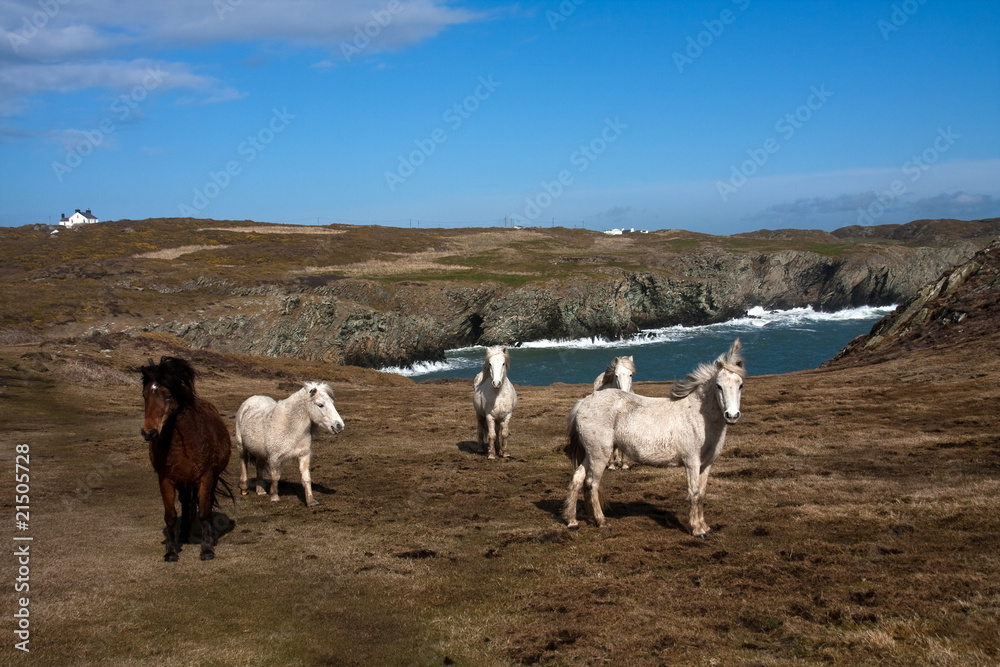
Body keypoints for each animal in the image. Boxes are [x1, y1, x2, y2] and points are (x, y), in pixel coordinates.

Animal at [139, 356, 232, 561]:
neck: (182, 442)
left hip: (212, 478)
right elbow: (170, 516)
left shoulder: (205, 477)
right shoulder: (165, 480)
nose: (149, 432)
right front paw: (171, 552)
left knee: (207, 503)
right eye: (144, 396)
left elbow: (204, 513)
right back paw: (183, 533)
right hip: (183, 481)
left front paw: (207, 550)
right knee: (185, 503)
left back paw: (211, 535)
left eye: (167, 396)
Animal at [563, 339, 745, 537]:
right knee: (591, 483)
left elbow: (702, 494)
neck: (698, 416)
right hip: (599, 455)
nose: (732, 415)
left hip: (591, 454)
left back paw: (572, 521)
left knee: (577, 479)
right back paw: (602, 522)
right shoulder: (692, 462)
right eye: (719, 385)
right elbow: (694, 493)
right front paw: (697, 530)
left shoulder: (706, 464)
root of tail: (584, 402)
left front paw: (704, 526)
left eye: (740, 385)